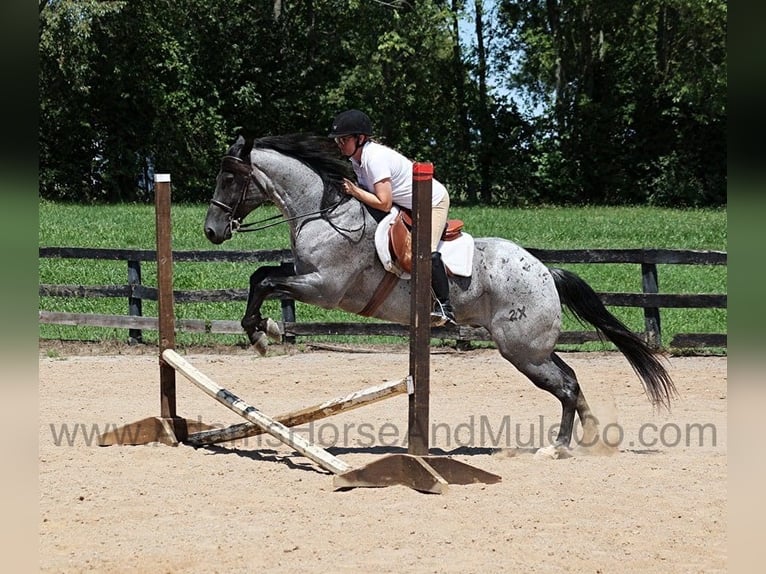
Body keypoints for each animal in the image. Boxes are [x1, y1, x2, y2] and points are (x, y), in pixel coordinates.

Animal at [203, 132, 676, 452]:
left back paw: (558, 446)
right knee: (572, 380)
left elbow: (267, 282)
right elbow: (261, 276)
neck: (324, 212)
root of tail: (546, 272)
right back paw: (588, 438)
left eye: (229, 177)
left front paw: (264, 333)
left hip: (522, 350)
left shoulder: (324, 288)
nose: (211, 231)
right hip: (532, 347)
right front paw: (261, 329)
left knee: (564, 386)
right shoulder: (304, 274)